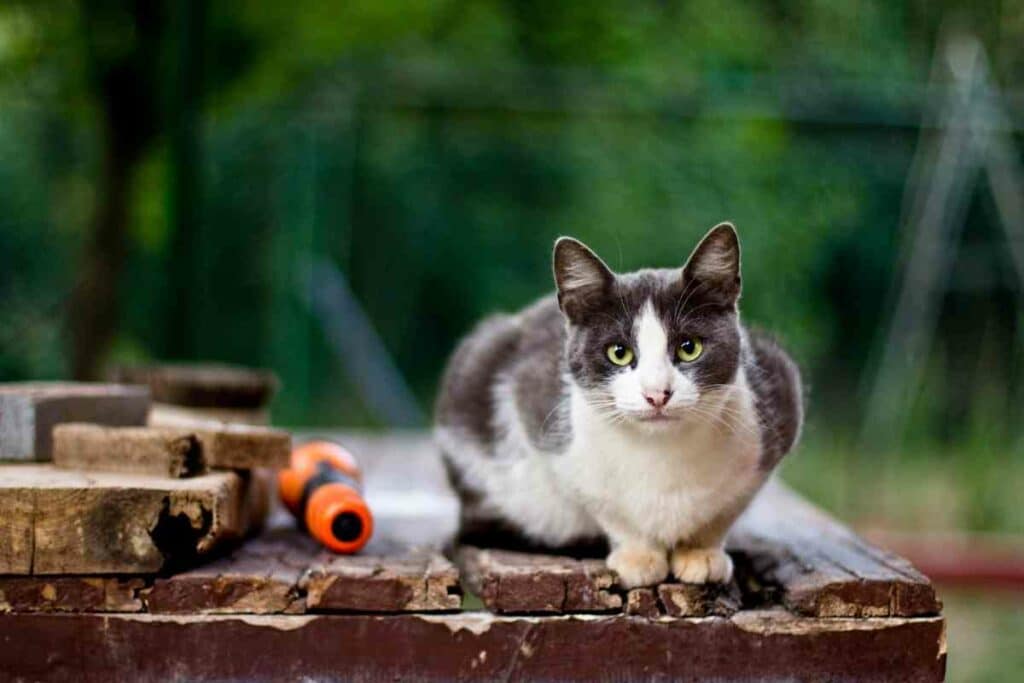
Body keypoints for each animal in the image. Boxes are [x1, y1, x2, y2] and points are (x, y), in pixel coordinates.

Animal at [436, 225, 802, 589]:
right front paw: (639, 557)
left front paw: (701, 553)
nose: (657, 394)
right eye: (619, 352)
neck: (661, 451)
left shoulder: (778, 407)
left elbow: (724, 511)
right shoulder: (547, 431)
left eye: (689, 347)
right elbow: (605, 506)